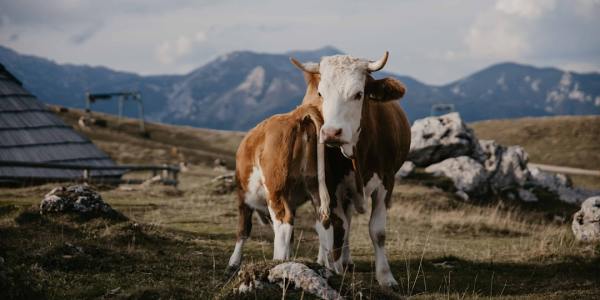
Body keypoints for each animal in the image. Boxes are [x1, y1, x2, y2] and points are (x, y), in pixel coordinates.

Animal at [225, 103, 330, 272]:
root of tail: (295, 115)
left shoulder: (244, 197)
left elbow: (243, 229)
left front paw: (233, 262)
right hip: (315, 186)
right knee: (323, 220)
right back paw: (324, 264)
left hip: (275, 188)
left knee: (283, 221)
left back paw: (277, 262)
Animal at [290, 52, 412, 288]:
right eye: (321, 93)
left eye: (358, 94)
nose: (330, 132)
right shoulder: (331, 184)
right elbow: (337, 227)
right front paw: (334, 268)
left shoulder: (387, 181)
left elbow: (377, 231)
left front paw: (386, 277)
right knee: (329, 223)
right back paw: (328, 259)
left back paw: (346, 260)